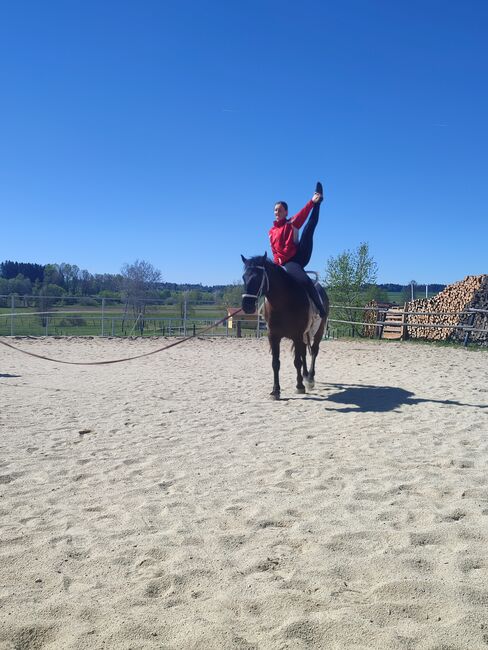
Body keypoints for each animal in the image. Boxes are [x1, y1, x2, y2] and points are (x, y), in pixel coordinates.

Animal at [242, 254, 330, 400]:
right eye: (244, 277)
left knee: (314, 352)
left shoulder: (297, 335)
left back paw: (310, 379)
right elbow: (276, 363)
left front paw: (299, 386)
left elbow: (297, 362)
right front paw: (275, 391)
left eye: (258, 278)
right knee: (304, 353)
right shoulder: (273, 336)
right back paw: (305, 376)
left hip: (319, 331)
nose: (246, 306)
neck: (283, 303)